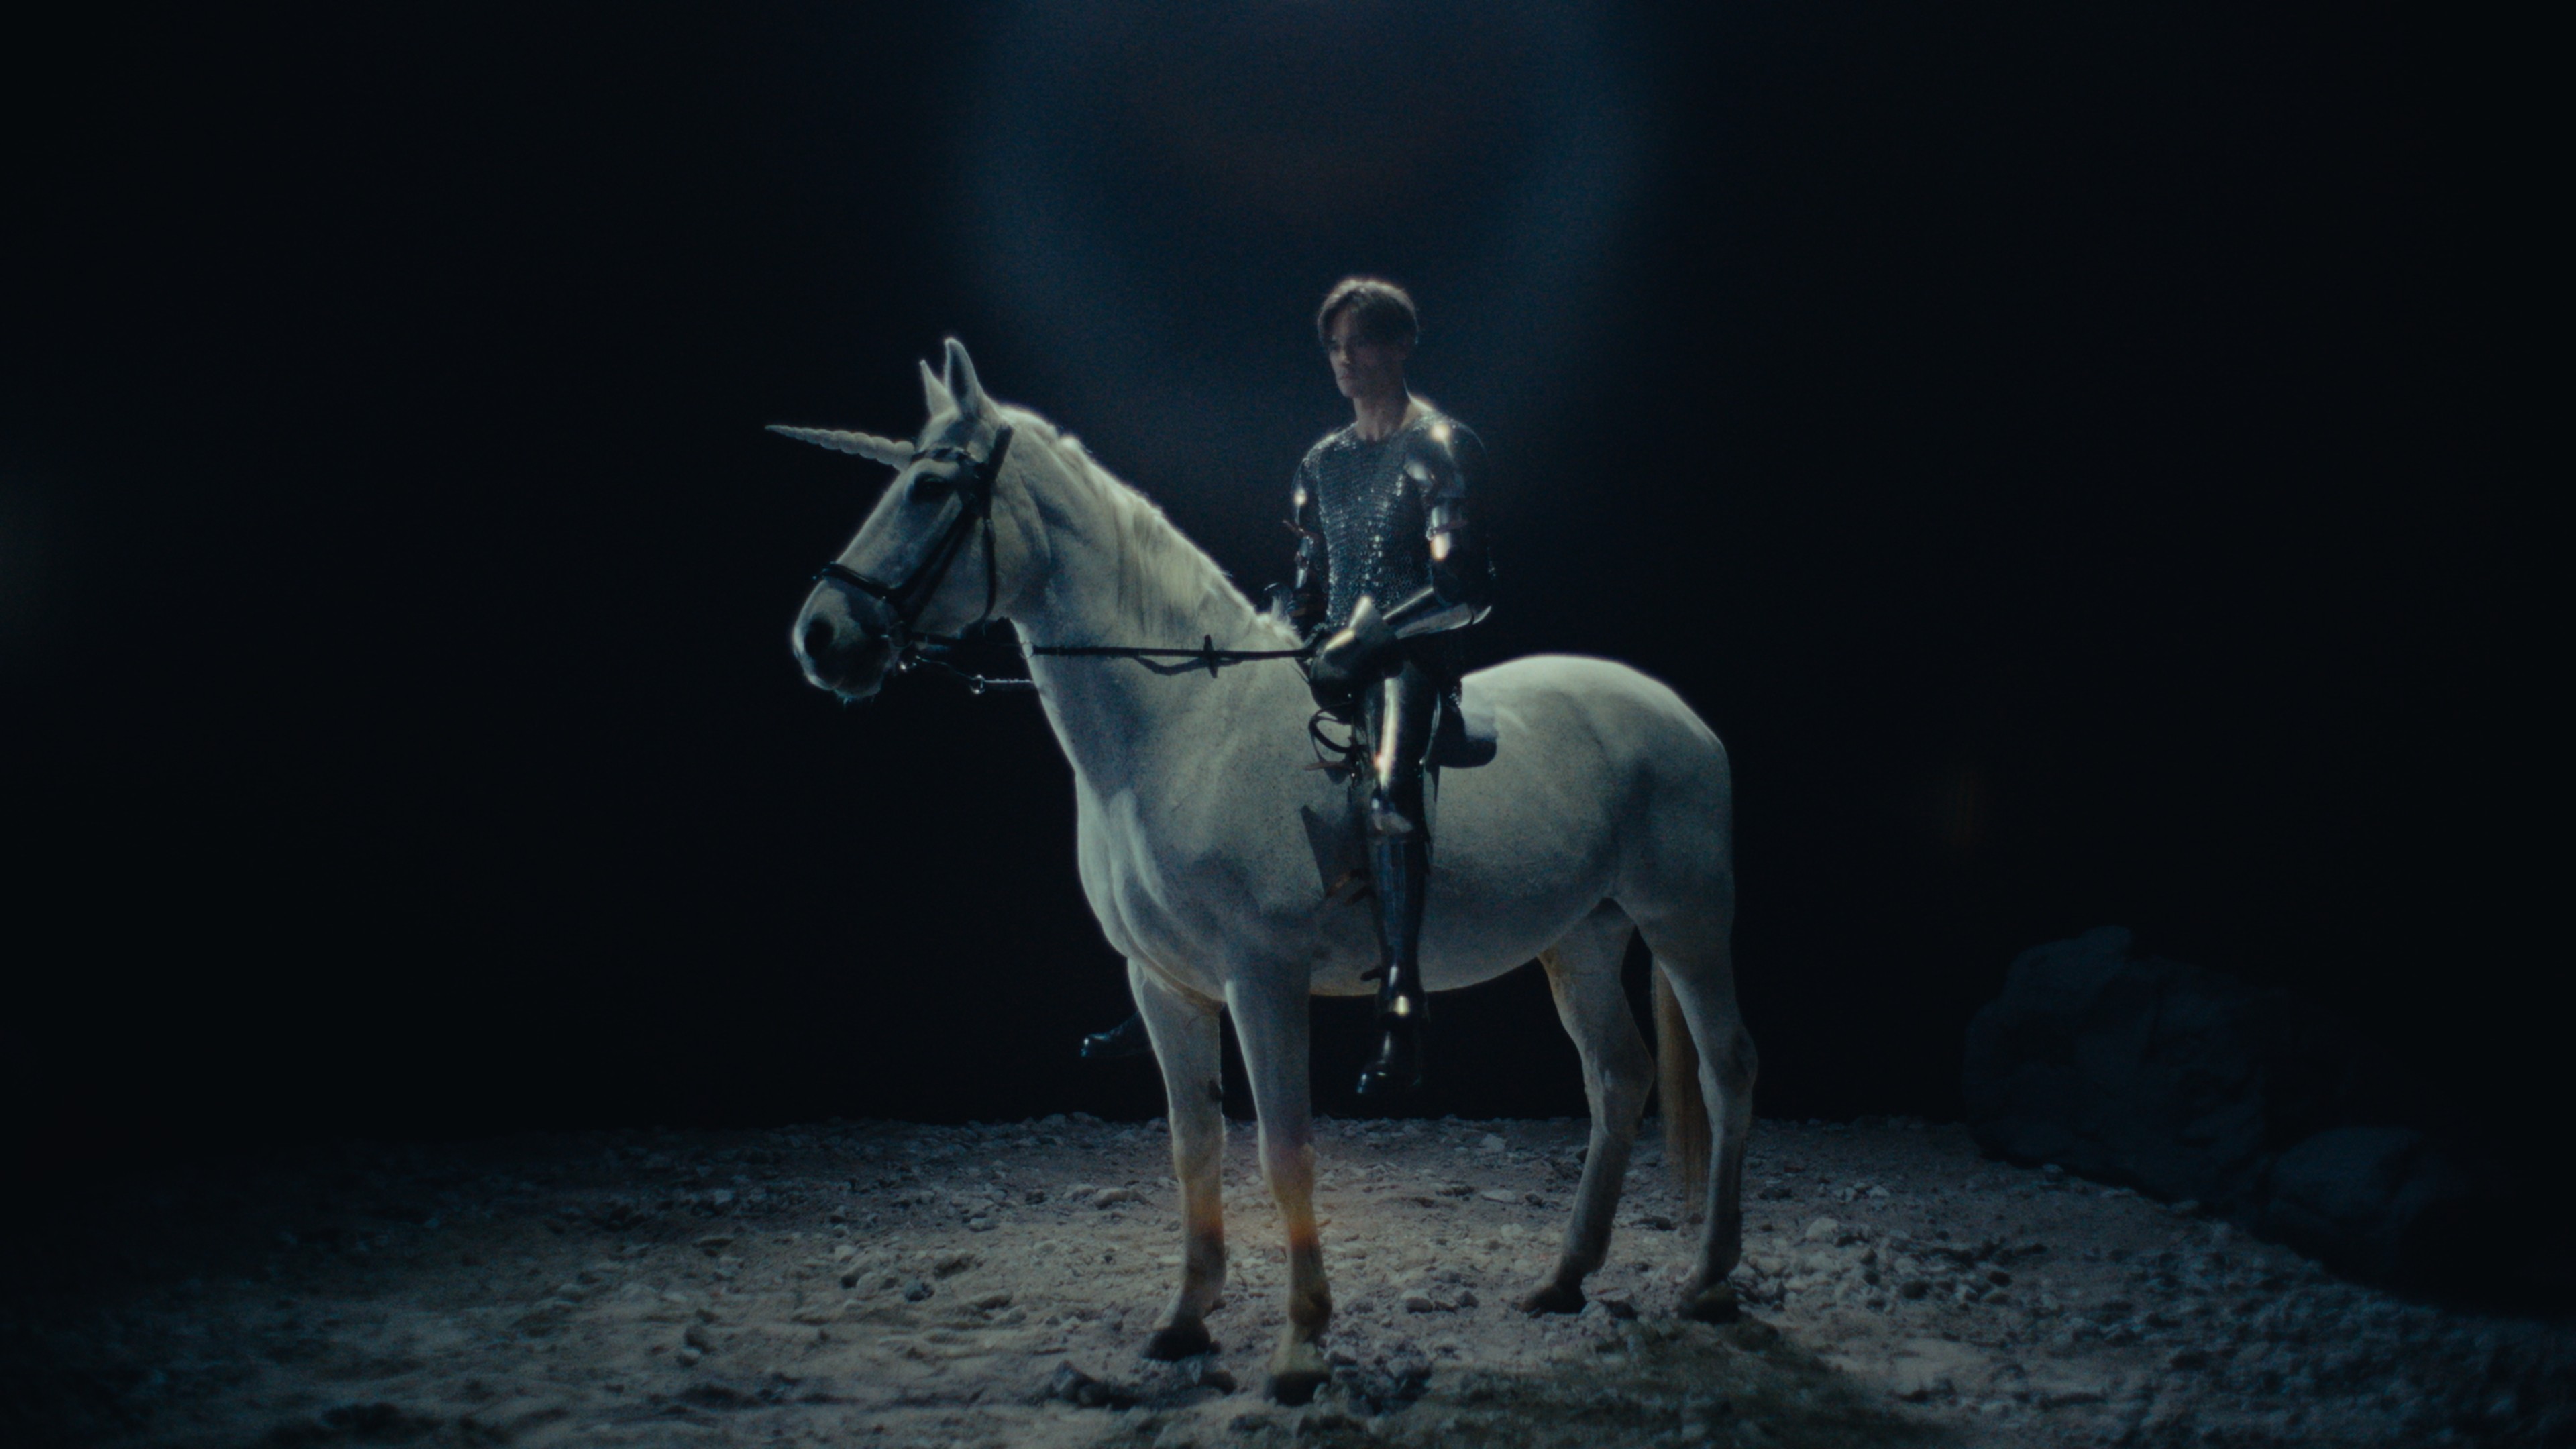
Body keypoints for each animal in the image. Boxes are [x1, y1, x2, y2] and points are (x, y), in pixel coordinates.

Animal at [783, 339, 1757, 1402]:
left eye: (928, 489)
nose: (821, 636)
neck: (1180, 730)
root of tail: (1680, 714)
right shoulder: (1164, 986)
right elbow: (1193, 1146)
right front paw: (1184, 1318)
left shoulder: (1264, 980)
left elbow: (1284, 1150)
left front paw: (1301, 1344)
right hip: (1581, 939)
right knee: (1617, 1078)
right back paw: (1566, 1278)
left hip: (1687, 923)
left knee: (1724, 1069)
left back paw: (1709, 1280)